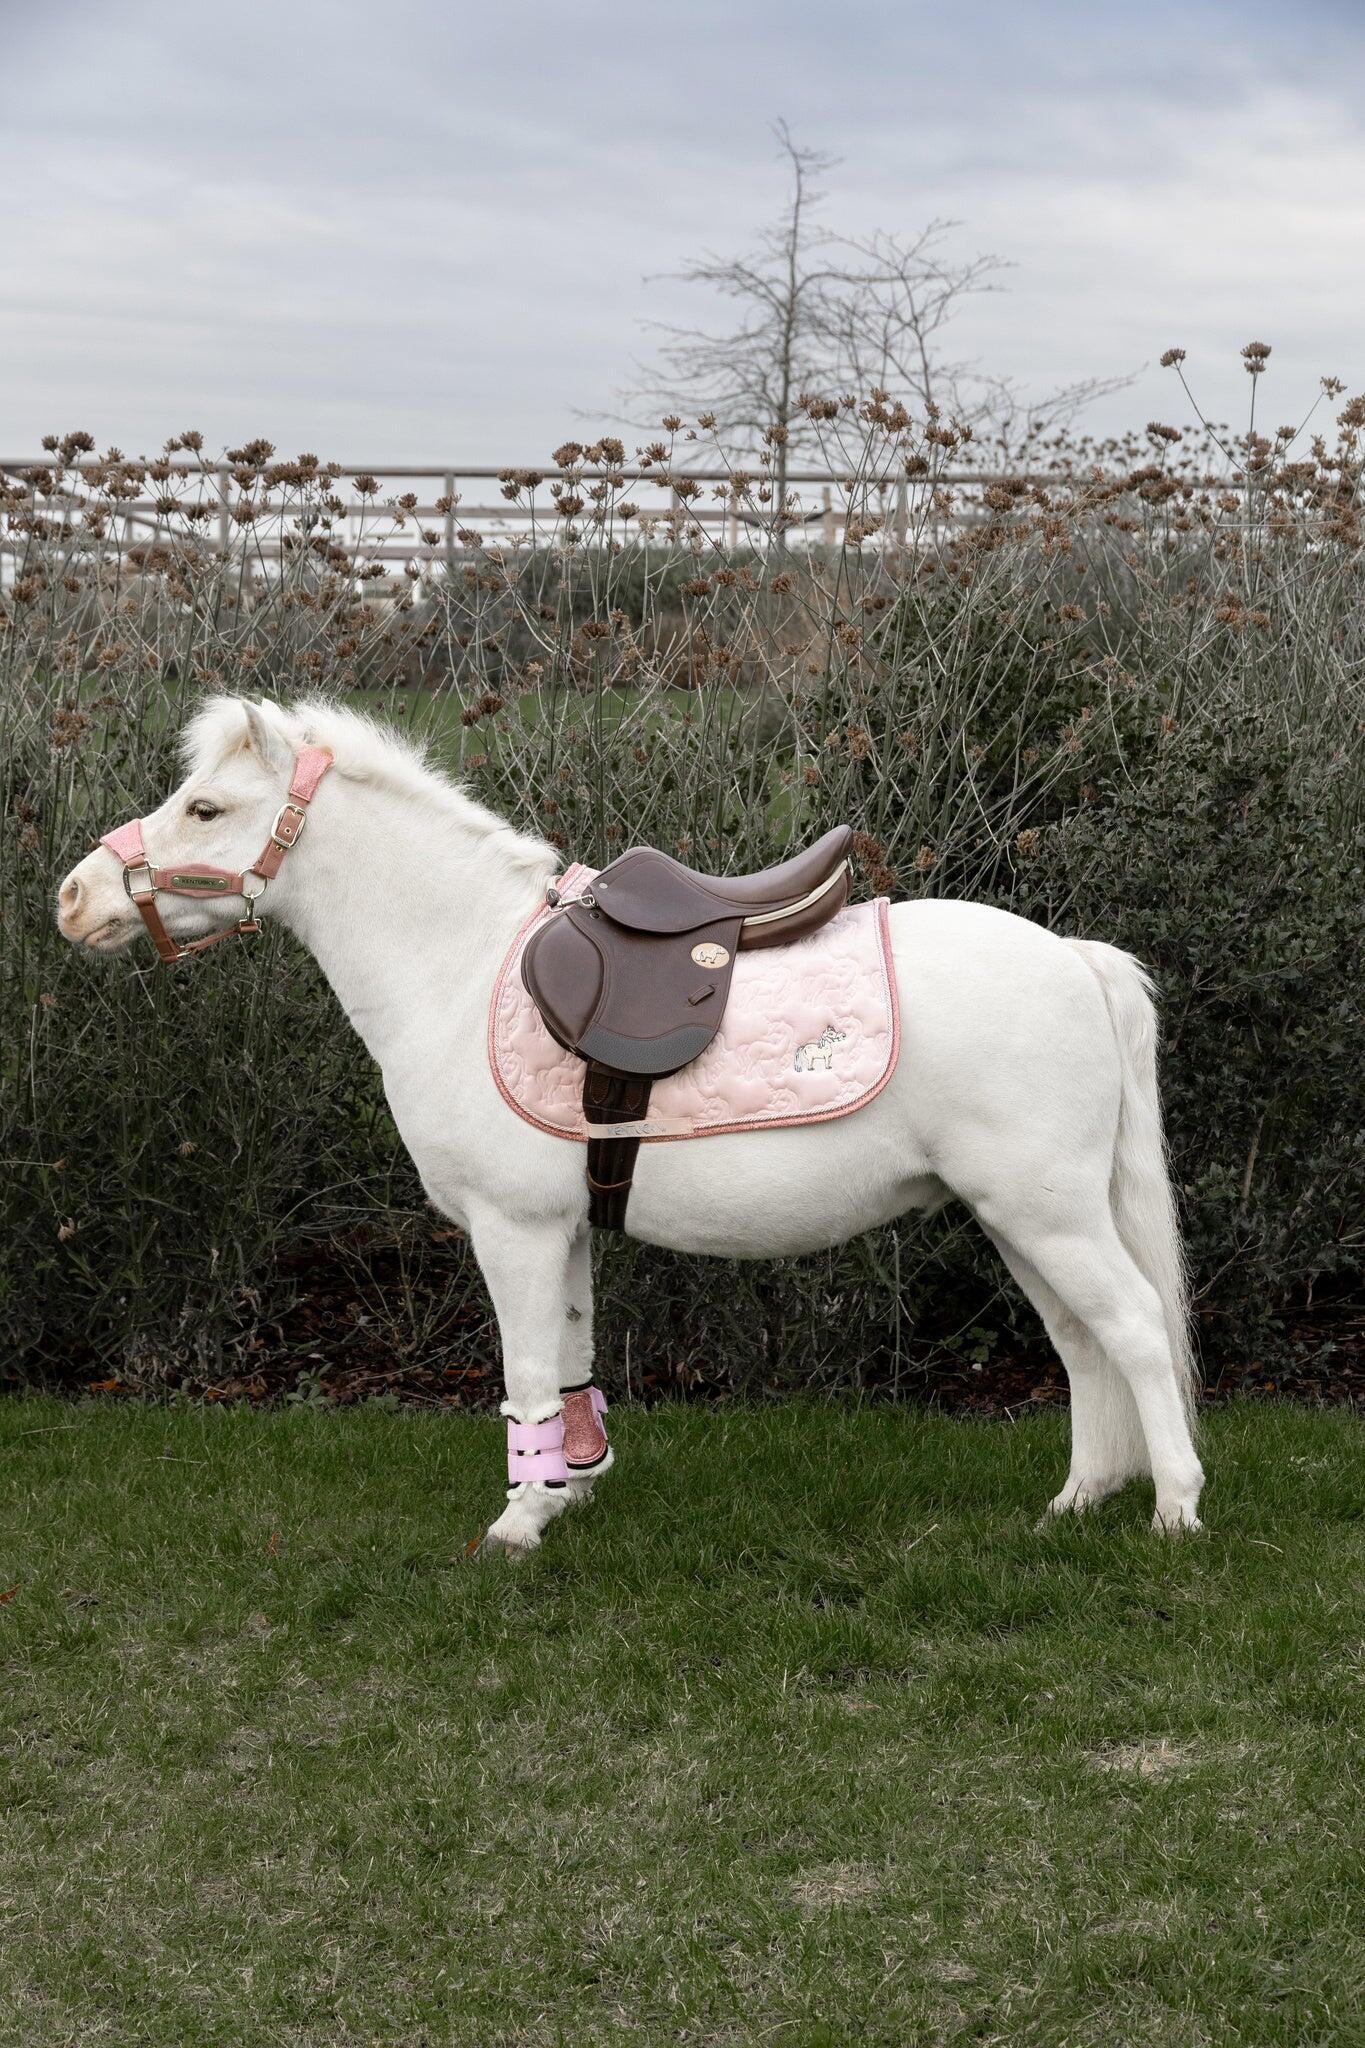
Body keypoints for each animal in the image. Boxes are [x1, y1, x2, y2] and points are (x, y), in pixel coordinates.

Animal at [56, 695, 1204, 1551]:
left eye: (206, 807)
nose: (74, 898)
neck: (462, 964)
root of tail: (1077, 959)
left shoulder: (512, 1229)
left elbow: (524, 1375)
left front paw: (520, 1522)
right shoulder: (560, 1230)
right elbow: (569, 1359)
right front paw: (570, 1486)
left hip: (1046, 1213)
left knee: (1135, 1328)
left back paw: (1174, 1508)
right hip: (1020, 1219)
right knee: (1081, 1341)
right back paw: (1079, 1499)